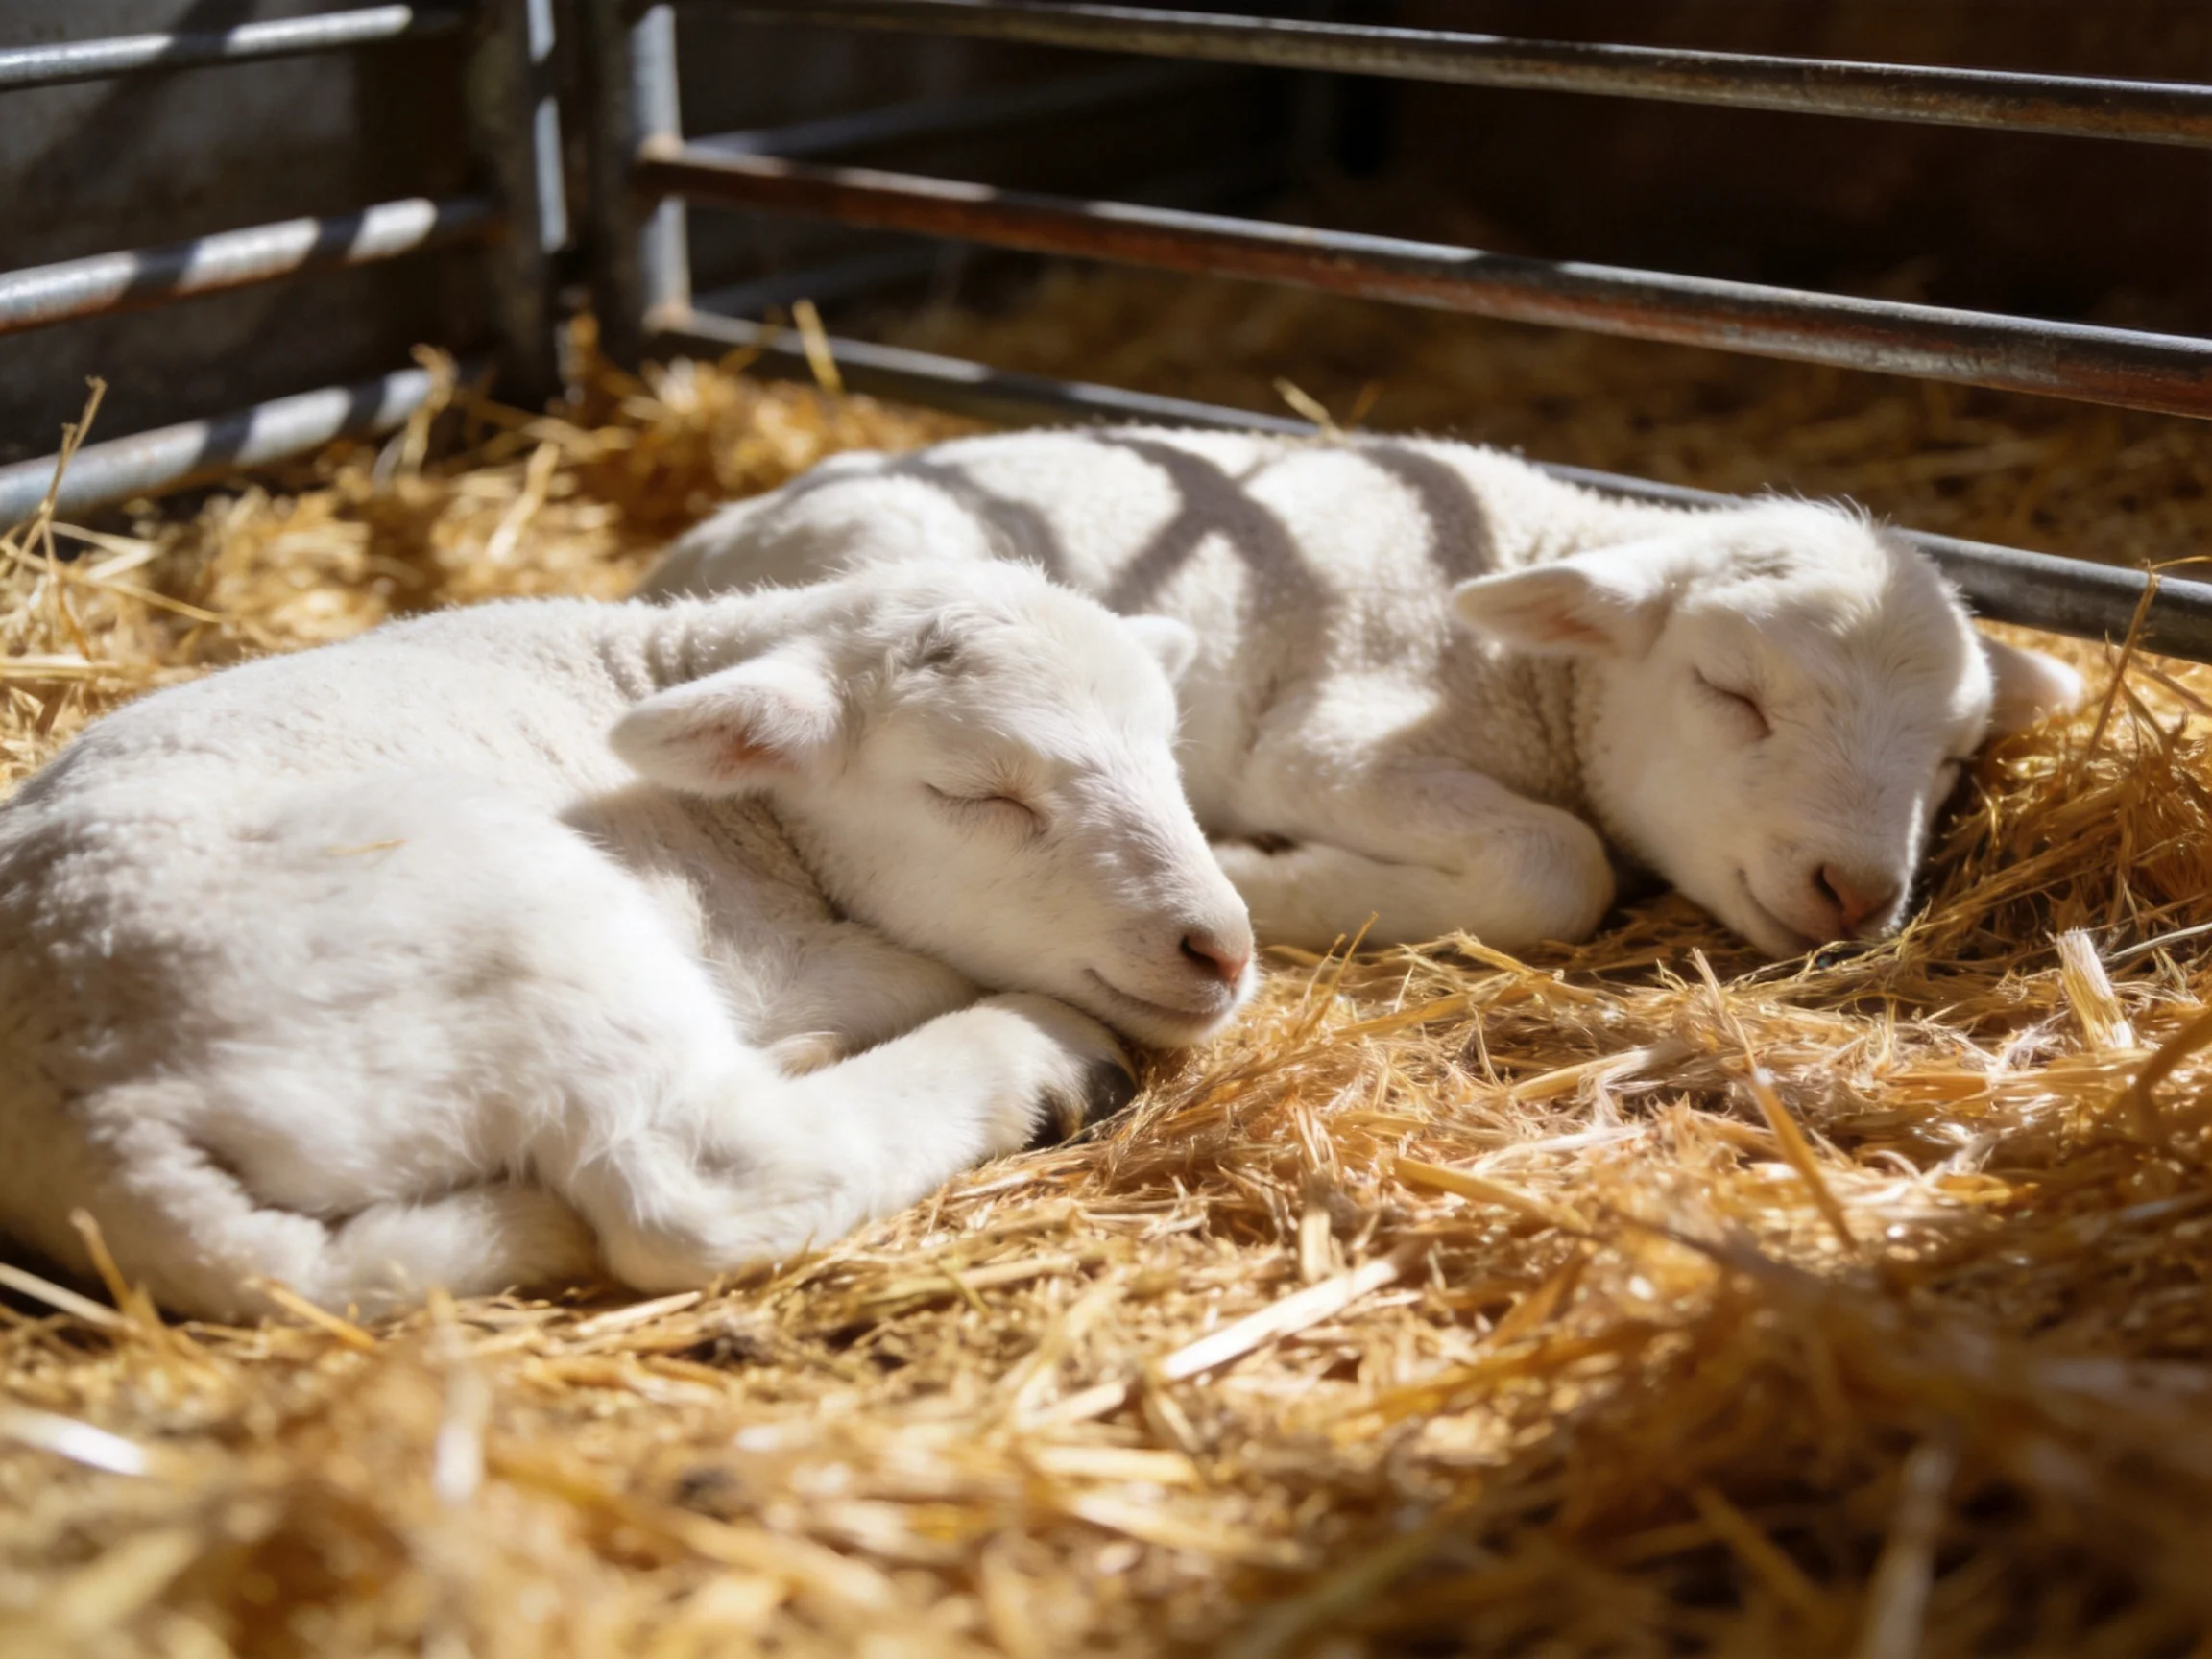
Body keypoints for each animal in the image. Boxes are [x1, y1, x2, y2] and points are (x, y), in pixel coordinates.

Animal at [0, 562, 1254, 1320]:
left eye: (1168, 750)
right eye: (976, 793)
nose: (1222, 950)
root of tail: (100, 1117)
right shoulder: (775, 947)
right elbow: (905, 976)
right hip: (525, 925)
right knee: (709, 1179)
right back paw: (1034, 1058)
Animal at [644, 428, 2086, 959]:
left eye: (1951, 755)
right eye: (1732, 694)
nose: (1857, 891)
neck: (1530, 675)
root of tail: (695, 544)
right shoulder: (1336, 740)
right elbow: (1557, 868)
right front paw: (1270, 875)